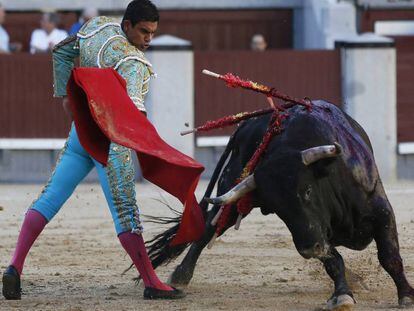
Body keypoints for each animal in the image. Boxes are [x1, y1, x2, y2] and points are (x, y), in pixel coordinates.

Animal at [146, 100, 414, 310]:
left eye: (307, 190)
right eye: (278, 209)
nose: (308, 250)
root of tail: (245, 126)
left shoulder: (381, 210)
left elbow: (390, 257)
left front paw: (407, 296)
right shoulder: (313, 232)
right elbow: (333, 260)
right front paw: (342, 295)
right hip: (232, 193)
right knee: (209, 227)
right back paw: (180, 277)